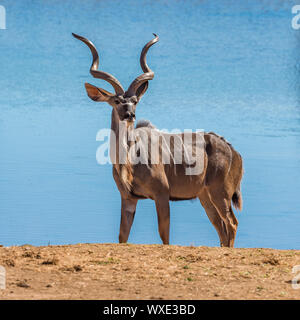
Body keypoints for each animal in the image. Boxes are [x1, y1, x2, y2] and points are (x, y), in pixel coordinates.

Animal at [73, 32, 244, 248]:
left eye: (135, 101)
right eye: (117, 101)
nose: (129, 115)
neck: (130, 159)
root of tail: (234, 152)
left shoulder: (162, 195)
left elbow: (164, 235)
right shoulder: (128, 198)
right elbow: (122, 236)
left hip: (220, 192)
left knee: (231, 223)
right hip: (205, 196)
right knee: (221, 228)